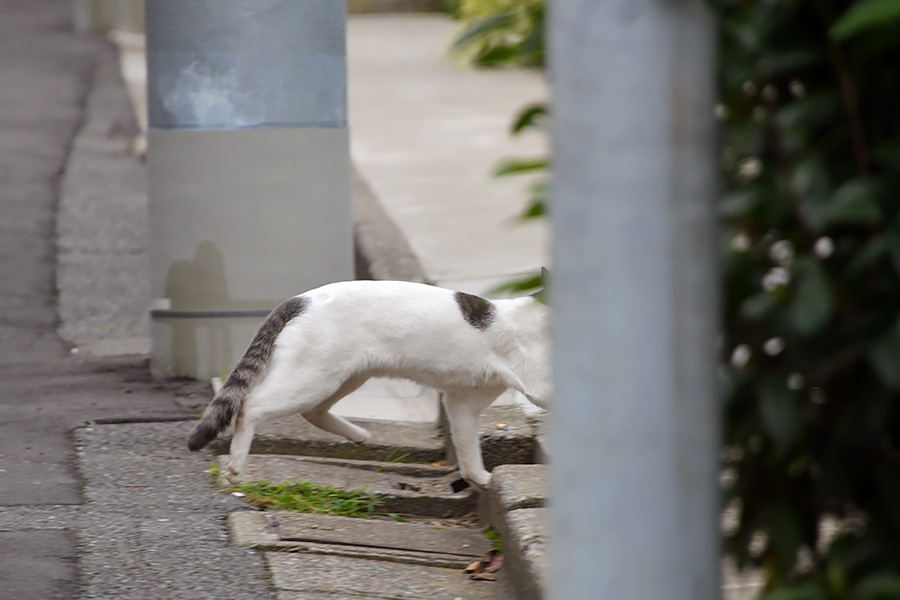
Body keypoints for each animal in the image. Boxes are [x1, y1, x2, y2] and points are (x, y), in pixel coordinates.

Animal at [188, 278, 548, 490]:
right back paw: (235, 468)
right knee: (251, 406)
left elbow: (469, 453)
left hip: (345, 377)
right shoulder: (538, 386)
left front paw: (482, 480)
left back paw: (359, 435)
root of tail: (299, 298)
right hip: (313, 379)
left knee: (313, 412)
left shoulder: (463, 402)